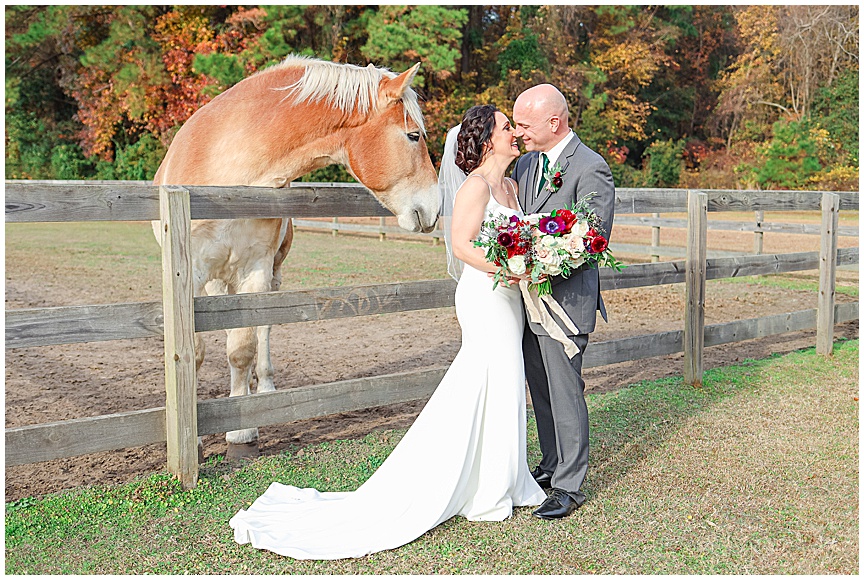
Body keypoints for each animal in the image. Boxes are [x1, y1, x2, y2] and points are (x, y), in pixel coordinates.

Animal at [149, 56, 442, 460]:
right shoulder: (191, 273)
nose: (435, 208)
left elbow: (242, 348)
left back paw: (265, 389)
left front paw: (241, 432)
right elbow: (195, 351)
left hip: (269, 275)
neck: (226, 180)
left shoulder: (254, 269)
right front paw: (193, 438)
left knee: (263, 331)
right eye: (413, 136)